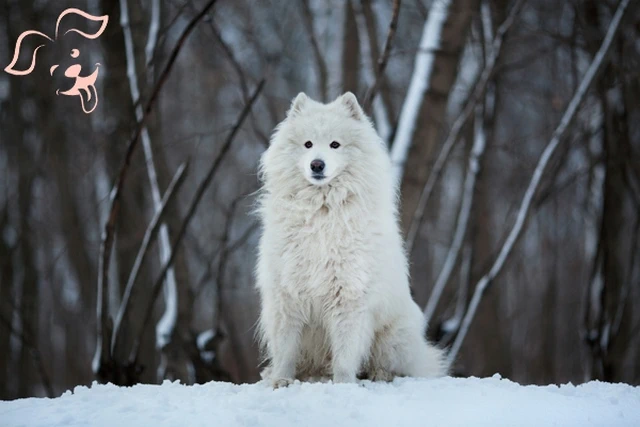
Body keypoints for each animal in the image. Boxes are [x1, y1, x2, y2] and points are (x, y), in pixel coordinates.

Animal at [255, 93, 444, 388]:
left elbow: (345, 354)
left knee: (394, 365)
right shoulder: (287, 295)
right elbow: (285, 349)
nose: (317, 164)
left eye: (335, 144)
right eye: (308, 144)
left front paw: (344, 385)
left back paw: (379, 374)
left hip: (394, 336)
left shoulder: (349, 297)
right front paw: (281, 381)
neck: (322, 210)